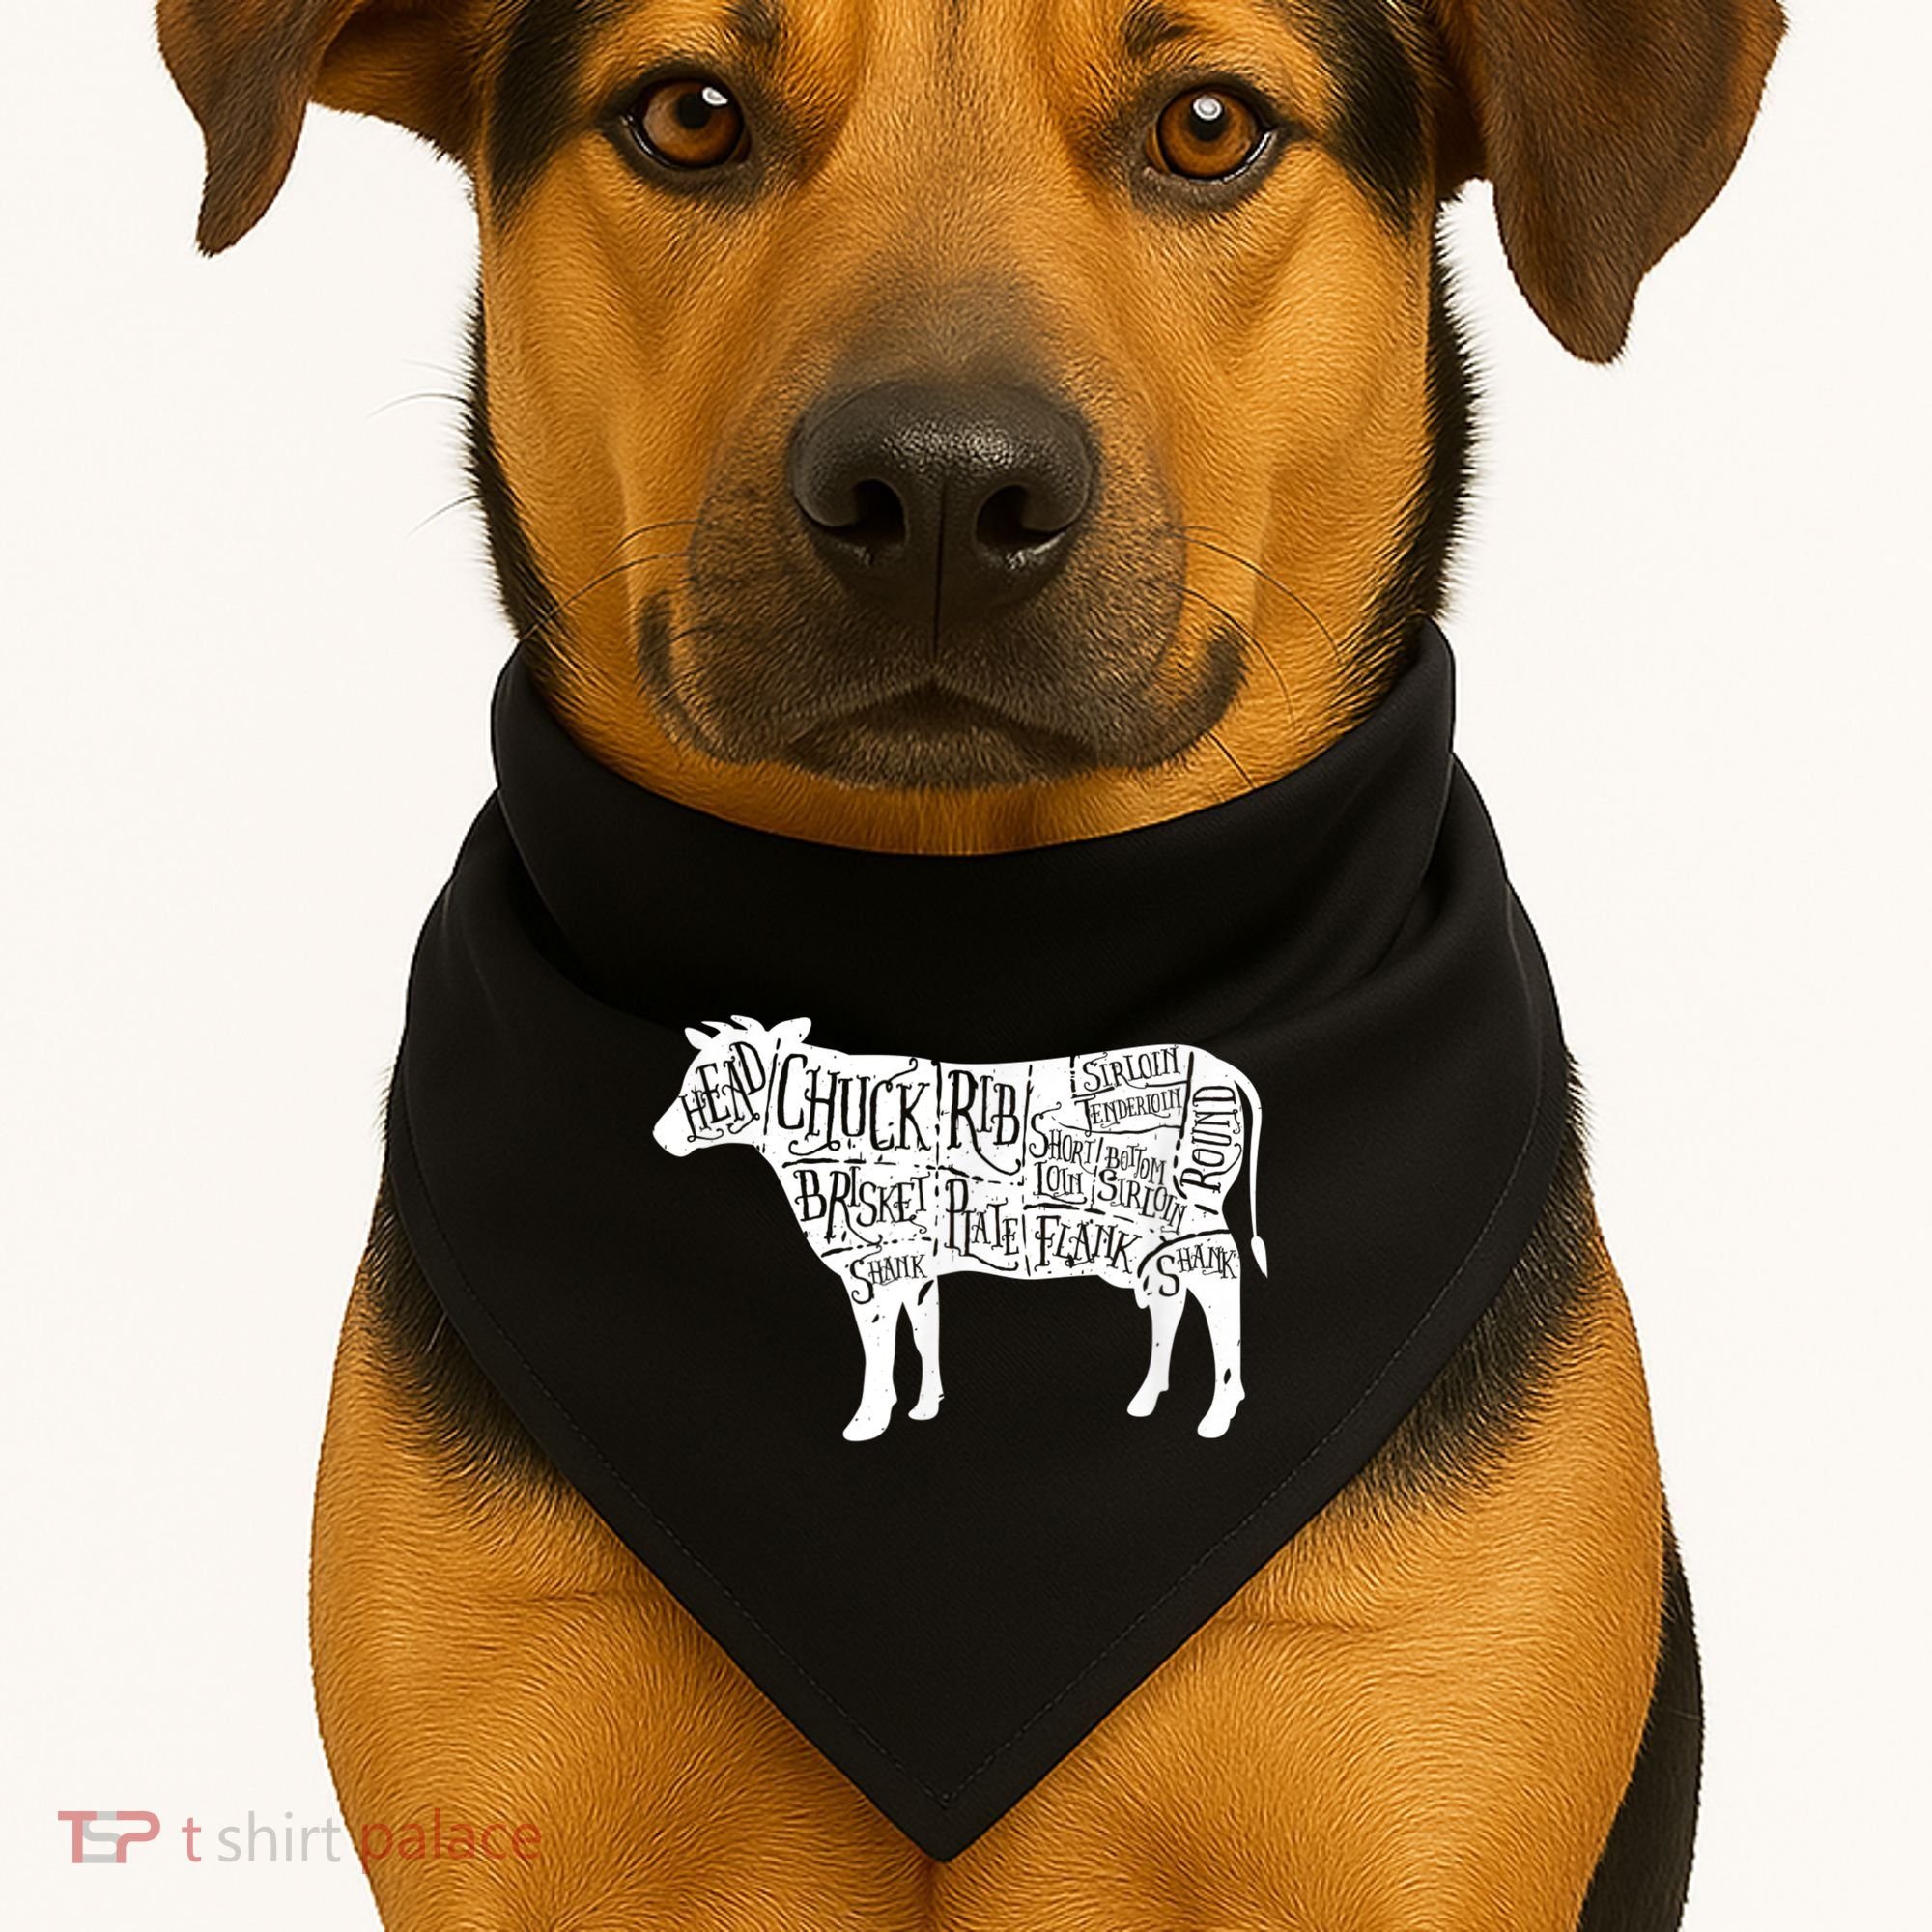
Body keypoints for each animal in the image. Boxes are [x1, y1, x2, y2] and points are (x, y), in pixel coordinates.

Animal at [653, 1017, 1267, 1442]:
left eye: (713, 1081)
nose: (659, 1136)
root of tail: (1216, 1063)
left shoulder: (869, 1267)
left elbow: (879, 1344)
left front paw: (869, 1420)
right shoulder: (916, 1264)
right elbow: (923, 1329)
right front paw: (925, 1407)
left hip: (1195, 1215)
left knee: (1221, 1288)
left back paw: (1220, 1412)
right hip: (1154, 1235)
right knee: (1172, 1299)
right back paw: (1147, 1399)